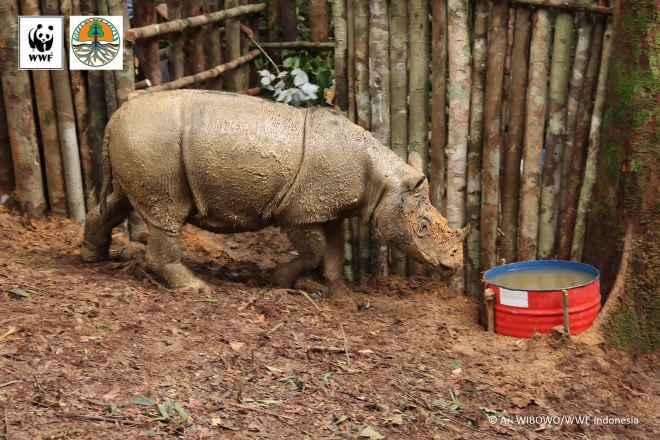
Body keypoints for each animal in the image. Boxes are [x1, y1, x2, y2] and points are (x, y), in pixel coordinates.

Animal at [81, 91, 468, 309]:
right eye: (422, 226)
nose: (455, 265)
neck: (386, 182)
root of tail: (115, 118)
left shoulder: (329, 210)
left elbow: (331, 254)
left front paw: (344, 301)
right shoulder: (298, 212)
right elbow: (314, 252)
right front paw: (278, 281)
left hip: (141, 142)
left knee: (117, 201)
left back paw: (92, 257)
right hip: (154, 142)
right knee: (165, 215)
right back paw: (196, 287)